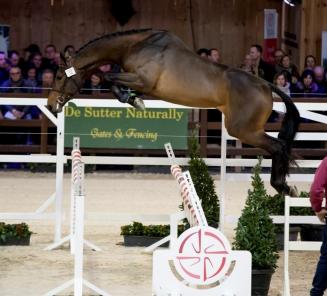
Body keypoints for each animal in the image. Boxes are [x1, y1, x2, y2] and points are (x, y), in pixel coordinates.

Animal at [47, 28, 302, 197]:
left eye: (59, 76)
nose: (50, 105)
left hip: (244, 130)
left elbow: (110, 78)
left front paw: (133, 100)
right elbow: (113, 81)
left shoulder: (143, 80)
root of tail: (266, 85)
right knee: (279, 147)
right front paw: (133, 99)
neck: (136, 46)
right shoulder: (139, 82)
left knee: (278, 147)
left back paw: (283, 186)